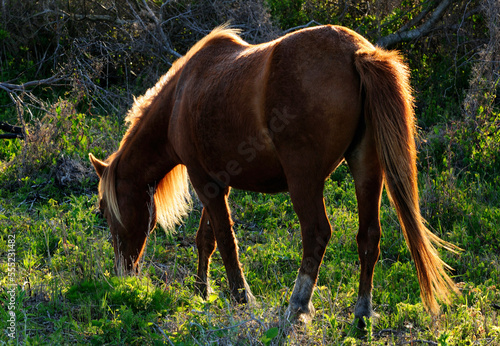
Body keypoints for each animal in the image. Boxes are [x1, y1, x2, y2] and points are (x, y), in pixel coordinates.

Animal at [89, 24, 458, 328]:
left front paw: (240, 297)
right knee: (368, 236)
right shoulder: (218, 183)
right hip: (366, 167)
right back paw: (362, 313)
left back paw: (298, 306)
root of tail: (356, 53)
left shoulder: (204, 181)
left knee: (317, 233)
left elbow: (225, 240)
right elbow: (206, 239)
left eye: (105, 211)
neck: (180, 99)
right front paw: (202, 291)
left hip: (304, 178)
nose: (123, 274)